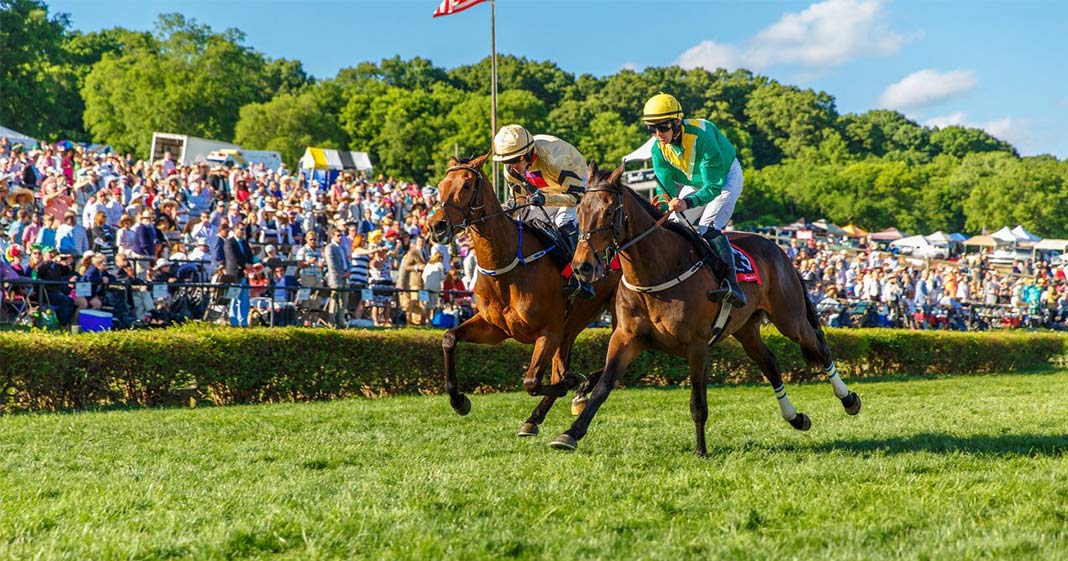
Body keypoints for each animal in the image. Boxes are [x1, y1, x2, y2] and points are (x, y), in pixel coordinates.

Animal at [427, 153, 623, 438]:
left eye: (466, 185)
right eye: (441, 185)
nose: (437, 226)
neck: (508, 267)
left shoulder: (549, 331)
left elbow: (533, 381)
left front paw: (573, 382)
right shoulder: (495, 328)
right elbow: (449, 339)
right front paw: (459, 400)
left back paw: (578, 388)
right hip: (572, 326)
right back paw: (540, 414)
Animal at [555, 162, 862, 455]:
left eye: (609, 212)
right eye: (579, 209)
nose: (582, 266)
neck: (656, 273)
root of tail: (778, 250)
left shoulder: (698, 345)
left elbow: (697, 403)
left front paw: (701, 450)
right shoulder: (628, 337)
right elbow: (603, 385)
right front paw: (569, 434)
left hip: (789, 318)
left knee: (818, 344)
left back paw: (849, 399)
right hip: (746, 328)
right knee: (770, 364)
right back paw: (796, 417)